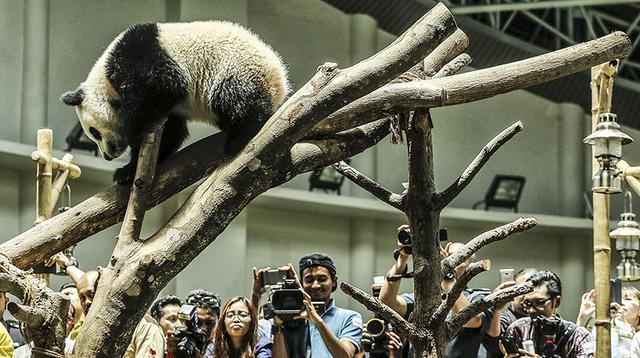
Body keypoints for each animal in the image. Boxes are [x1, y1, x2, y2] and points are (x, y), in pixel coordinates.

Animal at [60, 21, 290, 185]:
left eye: (94, 132)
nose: (108, 156)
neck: (106, 80)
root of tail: (279, 82)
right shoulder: (170, 110)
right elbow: (171, 133)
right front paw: (127, 172)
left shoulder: (142, 60)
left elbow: (162, 87)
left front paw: (133, 134)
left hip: (236, 70)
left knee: (235, 99)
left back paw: (240, 136)